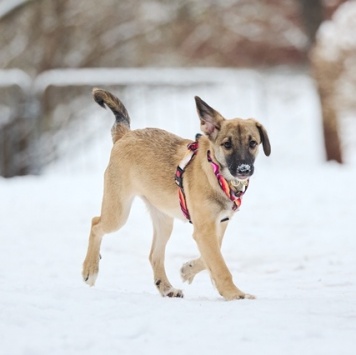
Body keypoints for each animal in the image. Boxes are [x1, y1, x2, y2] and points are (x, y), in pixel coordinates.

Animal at [81, 89, 270, 300]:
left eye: (253, 143)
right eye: (227, 144)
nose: (244, 169)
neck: (217, 175)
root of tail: (126, 135)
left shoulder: (218, 226)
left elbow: (211, 258)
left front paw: (188, 269)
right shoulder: (205, 230)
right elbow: (220, 266)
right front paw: (234, 294)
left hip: (163, 219)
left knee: (154, 255)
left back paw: (166, 288)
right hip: (118, 212)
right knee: (95, 224)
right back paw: (90, 270)